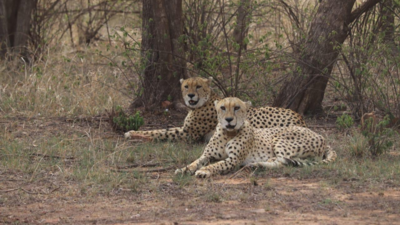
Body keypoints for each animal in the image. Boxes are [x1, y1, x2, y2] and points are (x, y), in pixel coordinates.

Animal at [125, 76, 306, 142]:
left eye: (198, 86)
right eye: (186, 86)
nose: (190, 95)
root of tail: (299, 117)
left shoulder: (189, 133)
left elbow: (161, 132)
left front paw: (133, 134)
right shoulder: (185, 128)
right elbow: (162, 129)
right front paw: (134, 131)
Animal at [177, 96, 336, 178]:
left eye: (237, 108)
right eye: (222, 108)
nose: (229, 120)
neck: (228, 133)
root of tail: (321, 136)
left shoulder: (234, 159)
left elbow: (217, 164)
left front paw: (204, 170)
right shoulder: (207, 155)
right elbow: (195, 161)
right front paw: (184, 169)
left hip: (280, 139)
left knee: (281, 161)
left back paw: (257, 164)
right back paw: (255, 165)